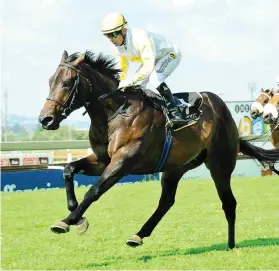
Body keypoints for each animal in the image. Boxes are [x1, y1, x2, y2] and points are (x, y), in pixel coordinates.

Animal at [37, 50, 279, 250]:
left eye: (67, 82)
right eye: (50, 81)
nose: (45, 119)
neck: (116, 113)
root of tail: (224, 111)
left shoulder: (123, 162)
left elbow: (94, 190)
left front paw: (67, 221)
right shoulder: (102, 160)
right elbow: (68, 169)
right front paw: (74, 212)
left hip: (220, 164)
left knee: (229, 202)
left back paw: (231, 245)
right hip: (176, 167)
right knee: (166, 202)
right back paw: (138, 235)